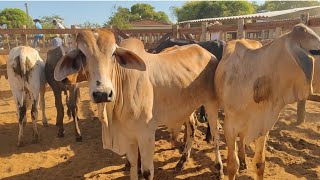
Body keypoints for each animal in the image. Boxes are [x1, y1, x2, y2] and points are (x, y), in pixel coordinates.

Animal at [53, 28, 222, 179]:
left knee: (215, 134)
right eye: (82, 54)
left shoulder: (146, 134)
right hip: (187, 107)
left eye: (113, 53)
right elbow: (133, 167)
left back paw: (219, 168)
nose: (102, 93)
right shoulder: (129, 136)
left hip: (211, 103)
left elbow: (147, 172)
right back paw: (182, 161)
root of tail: (207, 53)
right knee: (192, 128)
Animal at [214, 23, 320, 179]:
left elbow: (259, 164)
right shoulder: (229, 125)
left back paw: (243, 159)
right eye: (316, 51)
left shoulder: (263, 126)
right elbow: (232, 165)